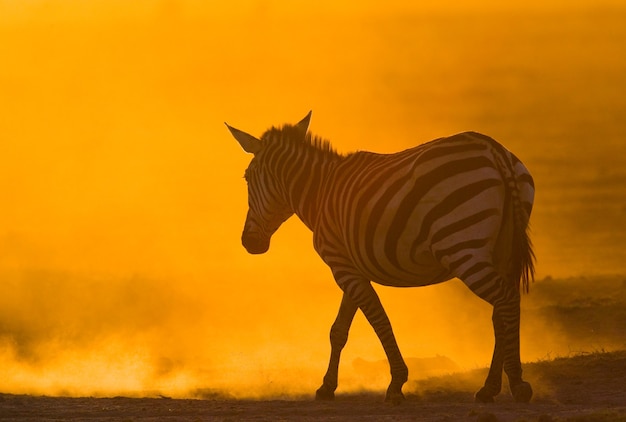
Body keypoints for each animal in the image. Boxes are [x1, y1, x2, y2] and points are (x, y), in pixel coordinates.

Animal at [227, 111, 532, 402]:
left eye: (247, 177)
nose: (248, 243)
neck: (321, 192)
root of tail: (494, 150)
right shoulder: (351, 267)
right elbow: (339, 330)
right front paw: (327, 387)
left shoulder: (342, 268)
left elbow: (379, 320)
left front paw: (396, 384)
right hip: (501, 252)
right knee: (501, 313)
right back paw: (489, 389)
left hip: (462, 246)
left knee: (506, 299)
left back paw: (517, 383)